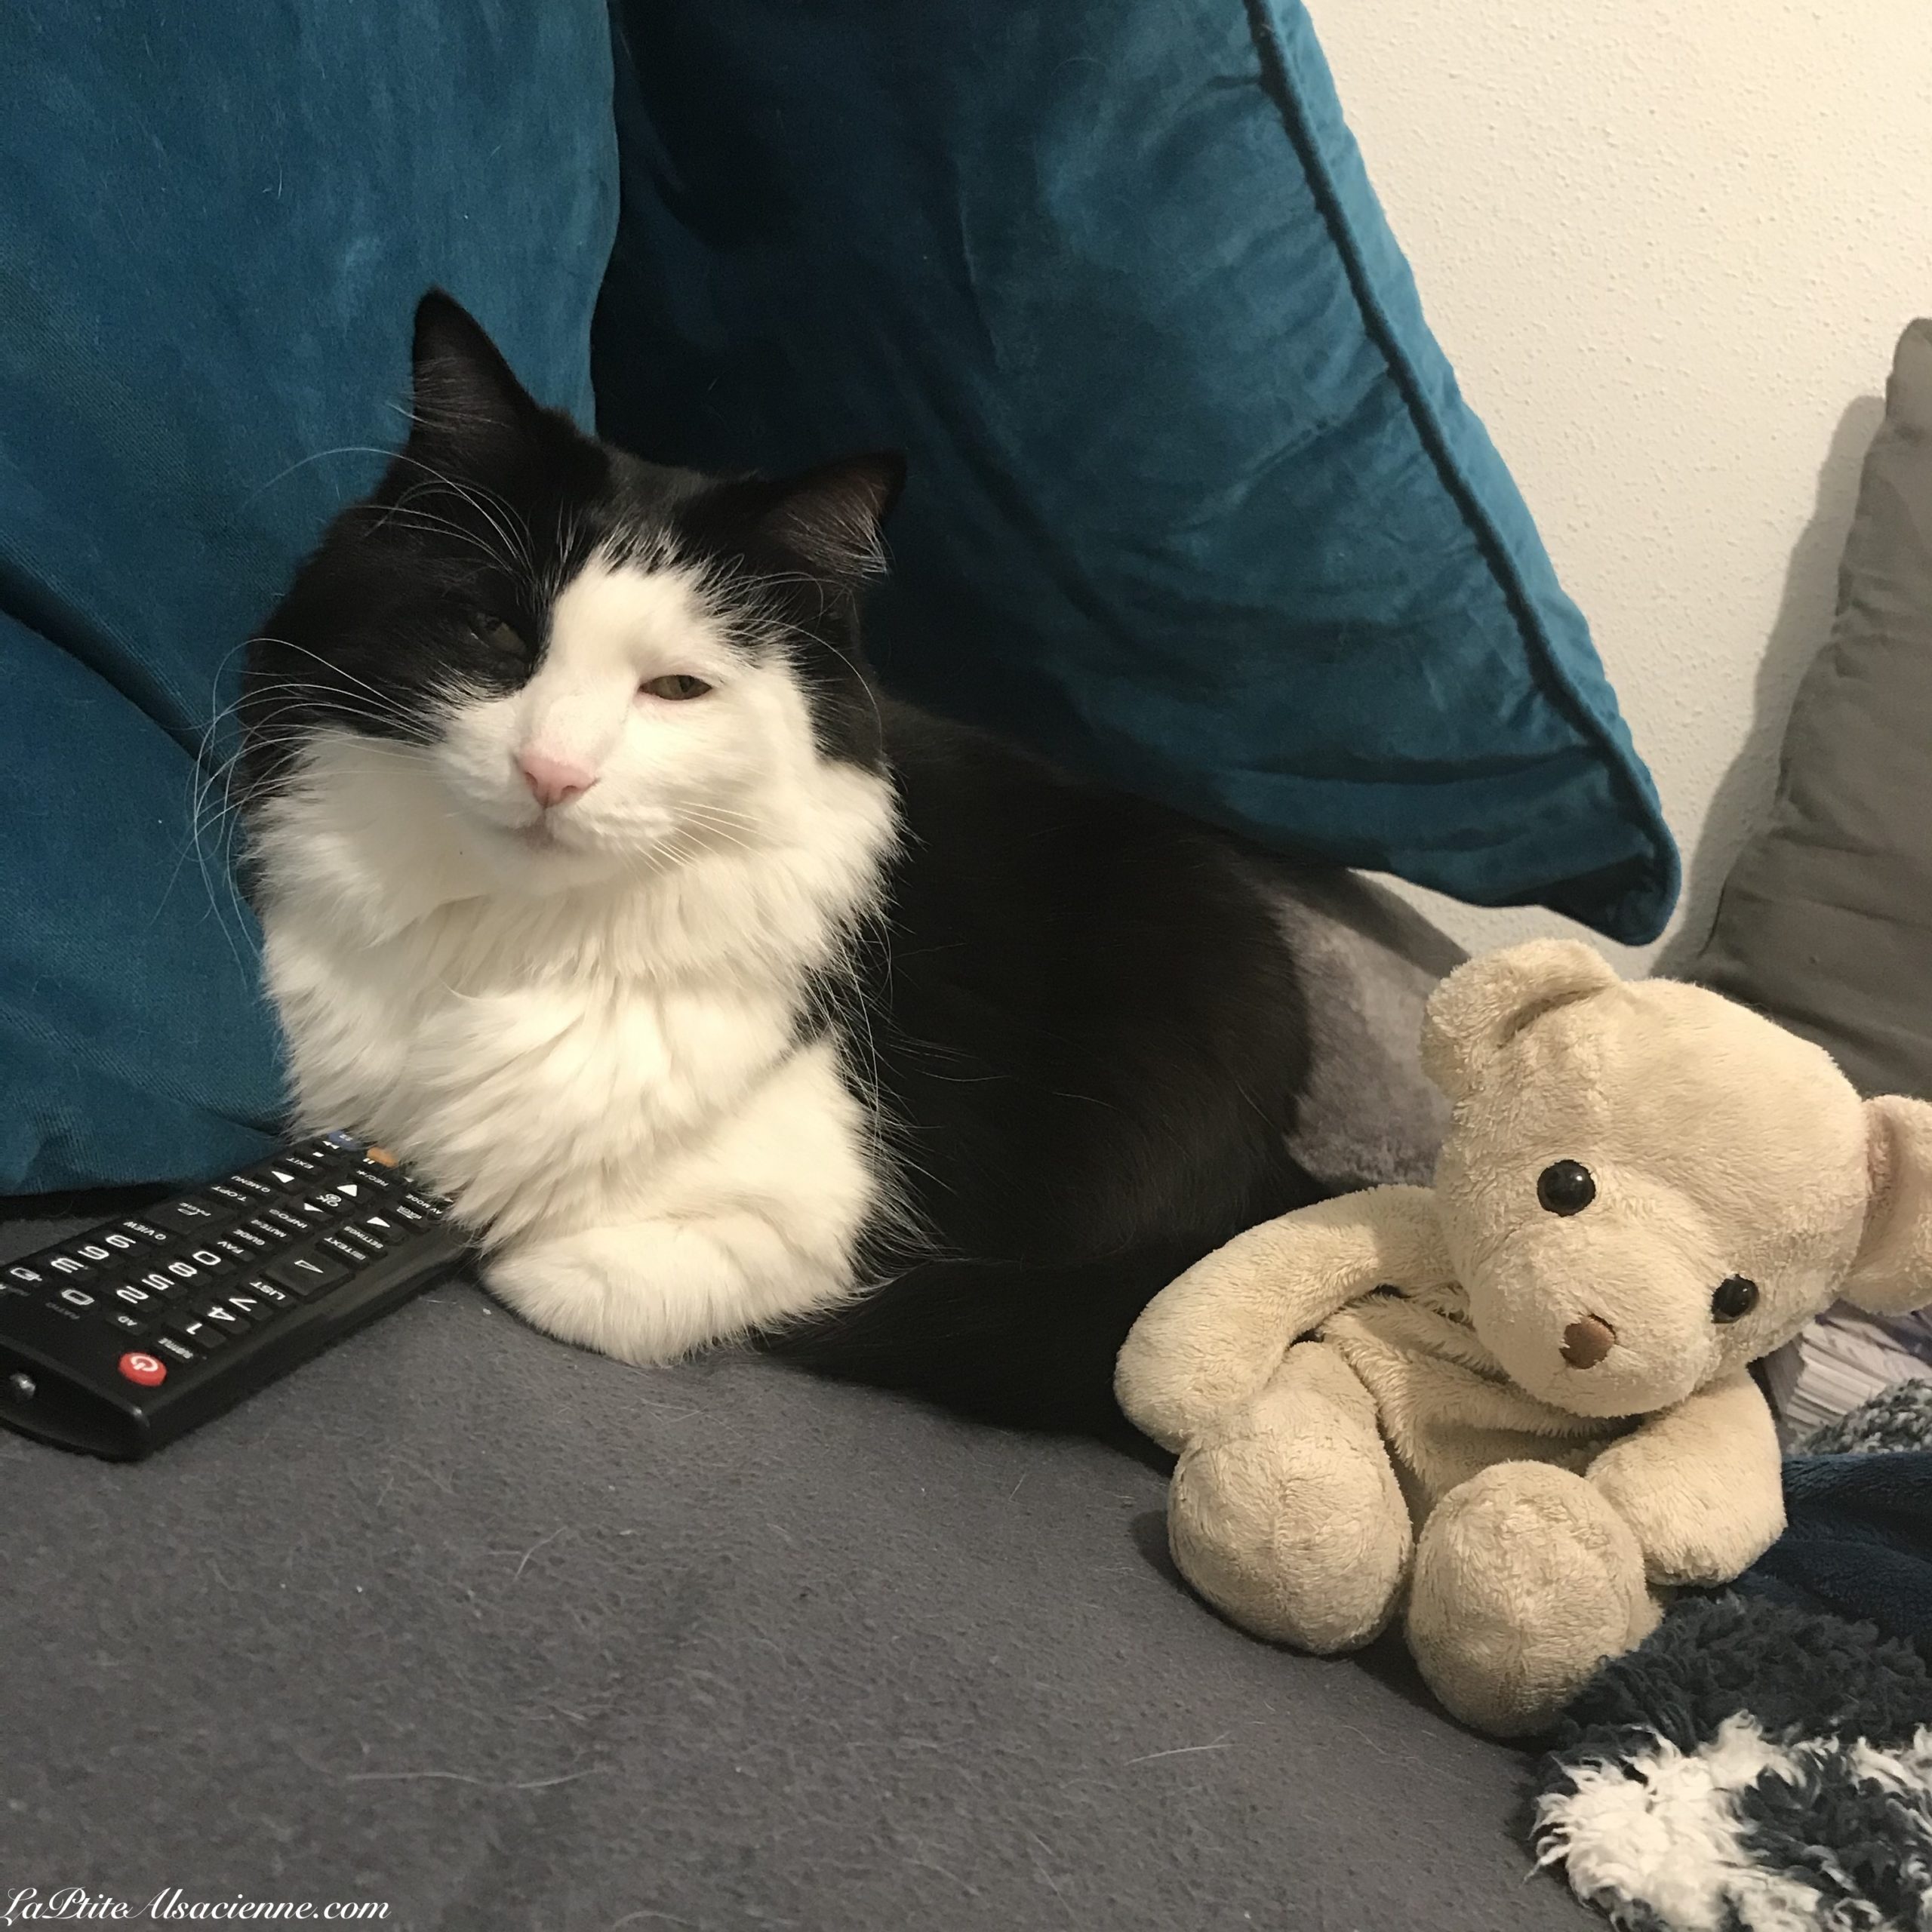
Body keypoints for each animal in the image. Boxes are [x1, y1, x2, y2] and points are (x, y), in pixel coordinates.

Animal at [237, 294, 1453, 1429]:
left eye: (675, 690)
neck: (516, 935)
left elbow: (578, 1277)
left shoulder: (813, 1217)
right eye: (495, 634)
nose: (552, 774)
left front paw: (508, 1241)